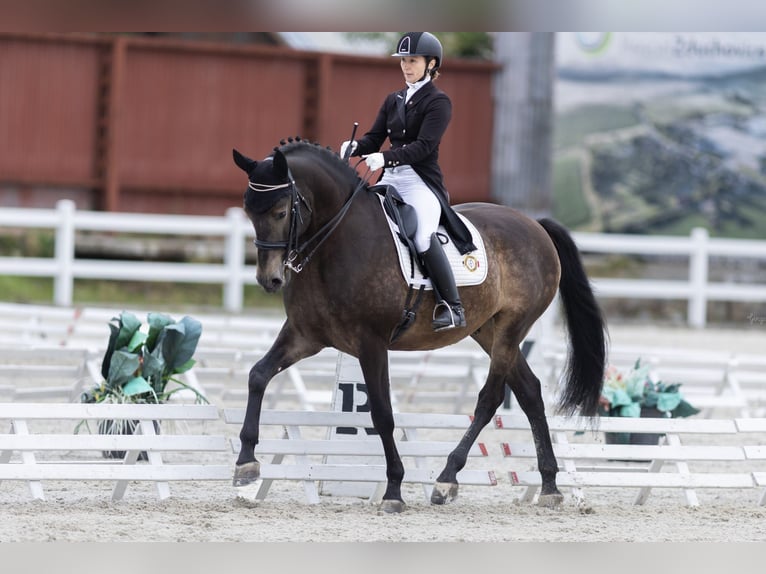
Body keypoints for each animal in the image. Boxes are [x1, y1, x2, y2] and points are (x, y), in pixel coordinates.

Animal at [231, 137, 608, 516]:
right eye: (249, 211)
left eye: (281, 212)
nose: (269, 279)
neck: (336, 243)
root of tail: (535, 224)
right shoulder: (304, 335)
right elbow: (257, 375)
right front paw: (246, 463)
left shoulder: (371, 342)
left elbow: (382, 413)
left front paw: (394, 489)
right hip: (488, 331)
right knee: (530, 391)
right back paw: (549, 486)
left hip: (511, 328)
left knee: (490, 399)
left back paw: (446, 479)